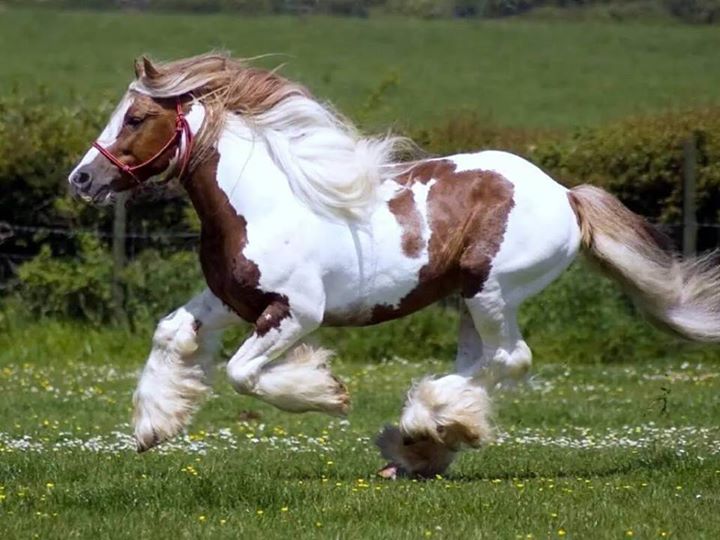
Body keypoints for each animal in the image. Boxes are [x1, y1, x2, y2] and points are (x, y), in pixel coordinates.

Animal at [68, 52, 720, 478]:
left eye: (134, 119)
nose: (82, 179)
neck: (264, 202)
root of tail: (566, 195)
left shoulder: (297, 313)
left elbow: (242, 374)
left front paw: (327, 393)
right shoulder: (231, 300)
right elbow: (171, 333)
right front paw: (153, 427)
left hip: (491, 292)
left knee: (510, 359)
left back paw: (422, 429)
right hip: (468, 302)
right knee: (483, 362)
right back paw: (422, 446)